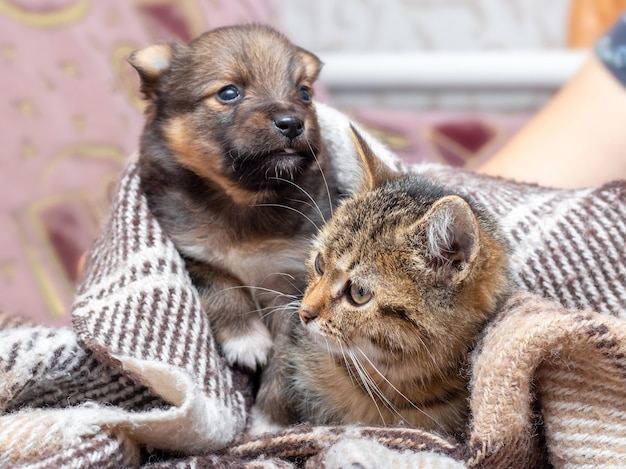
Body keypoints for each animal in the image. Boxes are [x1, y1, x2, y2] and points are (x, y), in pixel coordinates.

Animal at [127, 24, 338, 370]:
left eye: (304, 93)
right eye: (229, 92)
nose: (293, 122)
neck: (244, 201)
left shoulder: (292, 279)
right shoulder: (190, 252)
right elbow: (222, 284)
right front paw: (246, 339)